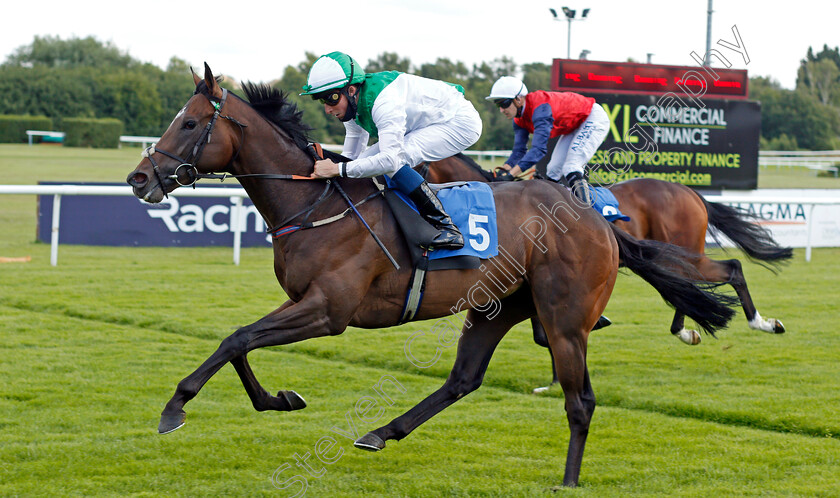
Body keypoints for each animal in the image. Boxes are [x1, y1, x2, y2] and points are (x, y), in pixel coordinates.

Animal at [123, 64, 736, 488]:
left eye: (191, 122)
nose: (137, 178)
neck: (316, 203)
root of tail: (594, 217)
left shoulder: (328, 311)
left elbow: (237, 338)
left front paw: (175, 407)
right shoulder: (305, 303)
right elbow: (239, 342)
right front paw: (280, 399)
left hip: (565, 318)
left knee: (580, 399)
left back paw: (568, 479)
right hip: (497, 307)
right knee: (463, 380)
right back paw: (380, 432)